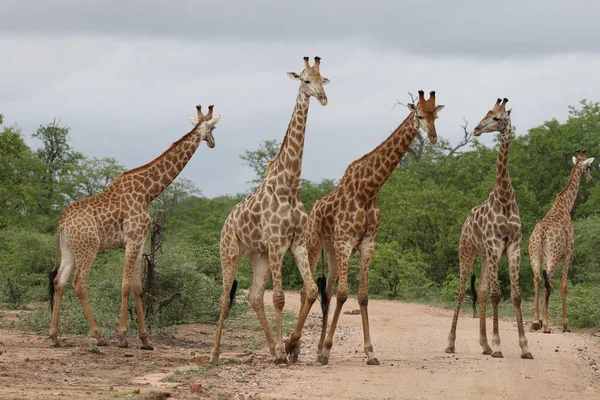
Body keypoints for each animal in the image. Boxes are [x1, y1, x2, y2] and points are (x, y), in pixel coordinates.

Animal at [47, 104, 220, 348]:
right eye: (213, 128)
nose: (213, 143)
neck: (148, 191)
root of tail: (61, 223)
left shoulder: (140, 241)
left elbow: (139, 286)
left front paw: (145, 339)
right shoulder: (132, 239)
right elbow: (126, 284)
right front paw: (122, 337)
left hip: (68, 249)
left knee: (59, 282)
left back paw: (54, 337)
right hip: (88, 247)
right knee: (79, 284)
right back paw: (98, 336)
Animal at [211, 56, 330, 366]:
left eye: (322, 79)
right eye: (305, 80)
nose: (323, 98)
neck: (289, 186)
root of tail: (225, 223)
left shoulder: (296, 242)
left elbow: (311, 290)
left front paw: (288, 347)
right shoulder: (278, 242)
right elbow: (279, 298)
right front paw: (283, 351)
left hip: (259, 255)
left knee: (253, 296)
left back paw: (271, 349)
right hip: (230, 251)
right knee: (224, 297)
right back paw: (214, 354)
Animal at [300, 90, 446, 366]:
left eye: (437, 115)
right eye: (420, 115)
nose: (433, 137)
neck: (369, 189)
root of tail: (313, 209)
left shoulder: (368, 244)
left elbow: (362, 296)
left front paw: (369, 352)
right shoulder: (346, 241)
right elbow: (344, 294)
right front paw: (328, 349)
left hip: (332, 251)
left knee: (326, 291)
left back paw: (315, 348)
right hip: (314, 243)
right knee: (308, 290)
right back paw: (292, 345)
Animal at [442, 97, 532, 360]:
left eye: (497, 117)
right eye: (487, 113)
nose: (476, 129)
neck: (505, 197)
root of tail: (465, 221)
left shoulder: (513, 245)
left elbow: (515, 295)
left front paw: (524, 347)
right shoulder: (494, 245)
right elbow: (496, 294)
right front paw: (499, 345)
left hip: (484, 254)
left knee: (479, 289)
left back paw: (484, 345)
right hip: (468, 250)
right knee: (461, 290)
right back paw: (450, 343)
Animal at [532, 151, 592, 334]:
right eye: (589, 166)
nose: (591, 178)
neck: (565, 205)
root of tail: (541, 233)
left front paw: (540, 320)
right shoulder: (569, 253)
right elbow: (564, 285)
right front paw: (566, 325)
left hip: (534, 254)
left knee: (538, 279)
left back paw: (535, 322)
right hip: (553, 255)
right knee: (547, 282)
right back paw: (546, 326)